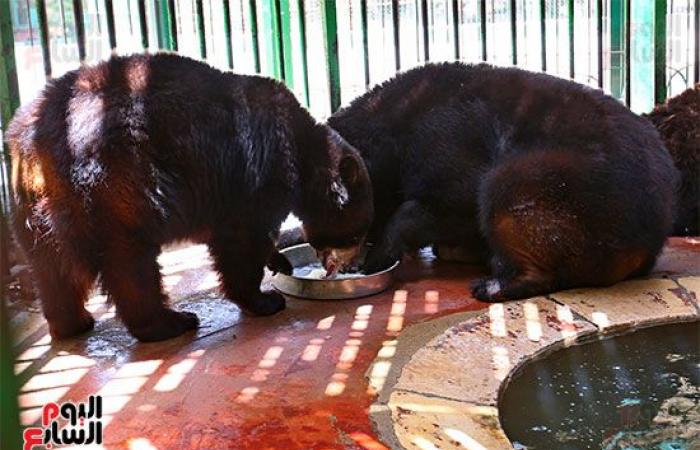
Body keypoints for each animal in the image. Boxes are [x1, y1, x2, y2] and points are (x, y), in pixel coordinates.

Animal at [8, 52, 374, 342]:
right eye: (357, 233)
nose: (351, 265)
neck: (302, 151)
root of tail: (33, 144)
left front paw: (278, 262)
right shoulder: (255, 171)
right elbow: (243, 238)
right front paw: (263, 299)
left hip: (30, 209)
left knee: (51, 268)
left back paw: (72, 322)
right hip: (117, 186)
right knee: (129, 262)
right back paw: (169, 322)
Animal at [328, 62, 680, 302]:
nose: (332, 263)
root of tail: (649, 242)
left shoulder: (443, 139)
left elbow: (451, 199)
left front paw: (376, 258)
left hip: (582, 195)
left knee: (506, 188)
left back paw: (494, 284)